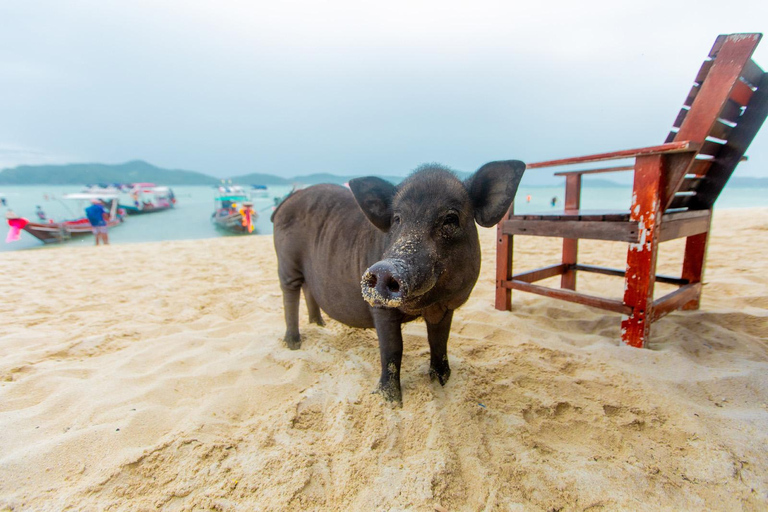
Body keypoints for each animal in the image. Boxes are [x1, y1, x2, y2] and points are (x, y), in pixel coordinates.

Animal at [272, 160, 525, 403]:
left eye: (451, 218)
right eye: (396, 219)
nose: (385, 269)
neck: (429, 305)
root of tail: (287, 201)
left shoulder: (445, 307)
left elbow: (439, 340)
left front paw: (442, 379)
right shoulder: (380, 308)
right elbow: (392, 350)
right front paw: (390, 400)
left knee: (308, 290)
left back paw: (319, 325)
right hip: (287, 262)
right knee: (290, 295)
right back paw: (294, 343)